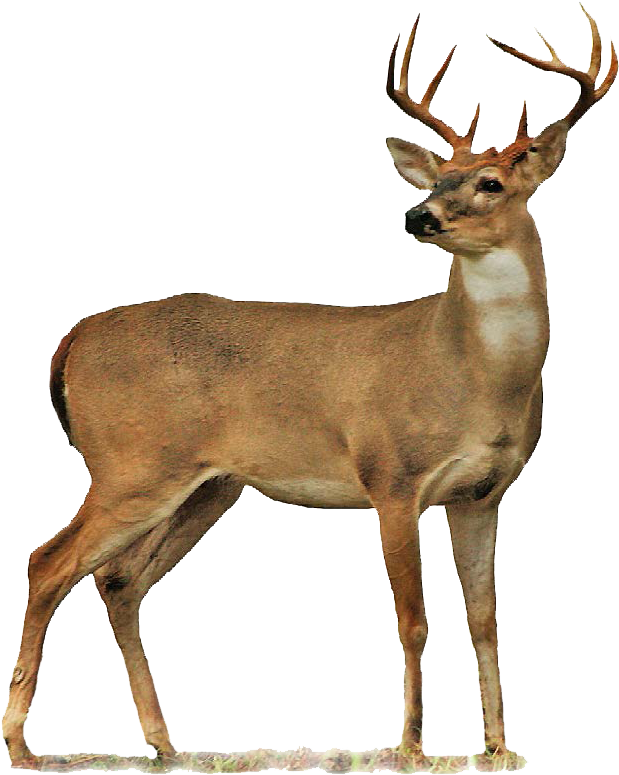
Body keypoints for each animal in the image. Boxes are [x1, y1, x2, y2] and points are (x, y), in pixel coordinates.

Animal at [3, 4, 616, 772]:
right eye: (432, 181)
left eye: (490, 184)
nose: (417, 217)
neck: (473, 376)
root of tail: (74, 339)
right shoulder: (391, 477)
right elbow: (414, 619)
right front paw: (409, 747)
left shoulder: (482, 494)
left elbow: (485, 620)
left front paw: (499, 748)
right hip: (132, 462)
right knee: (48, 561)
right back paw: (21, 742)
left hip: (208, 485)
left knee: (117, 580)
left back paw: (165, 743)